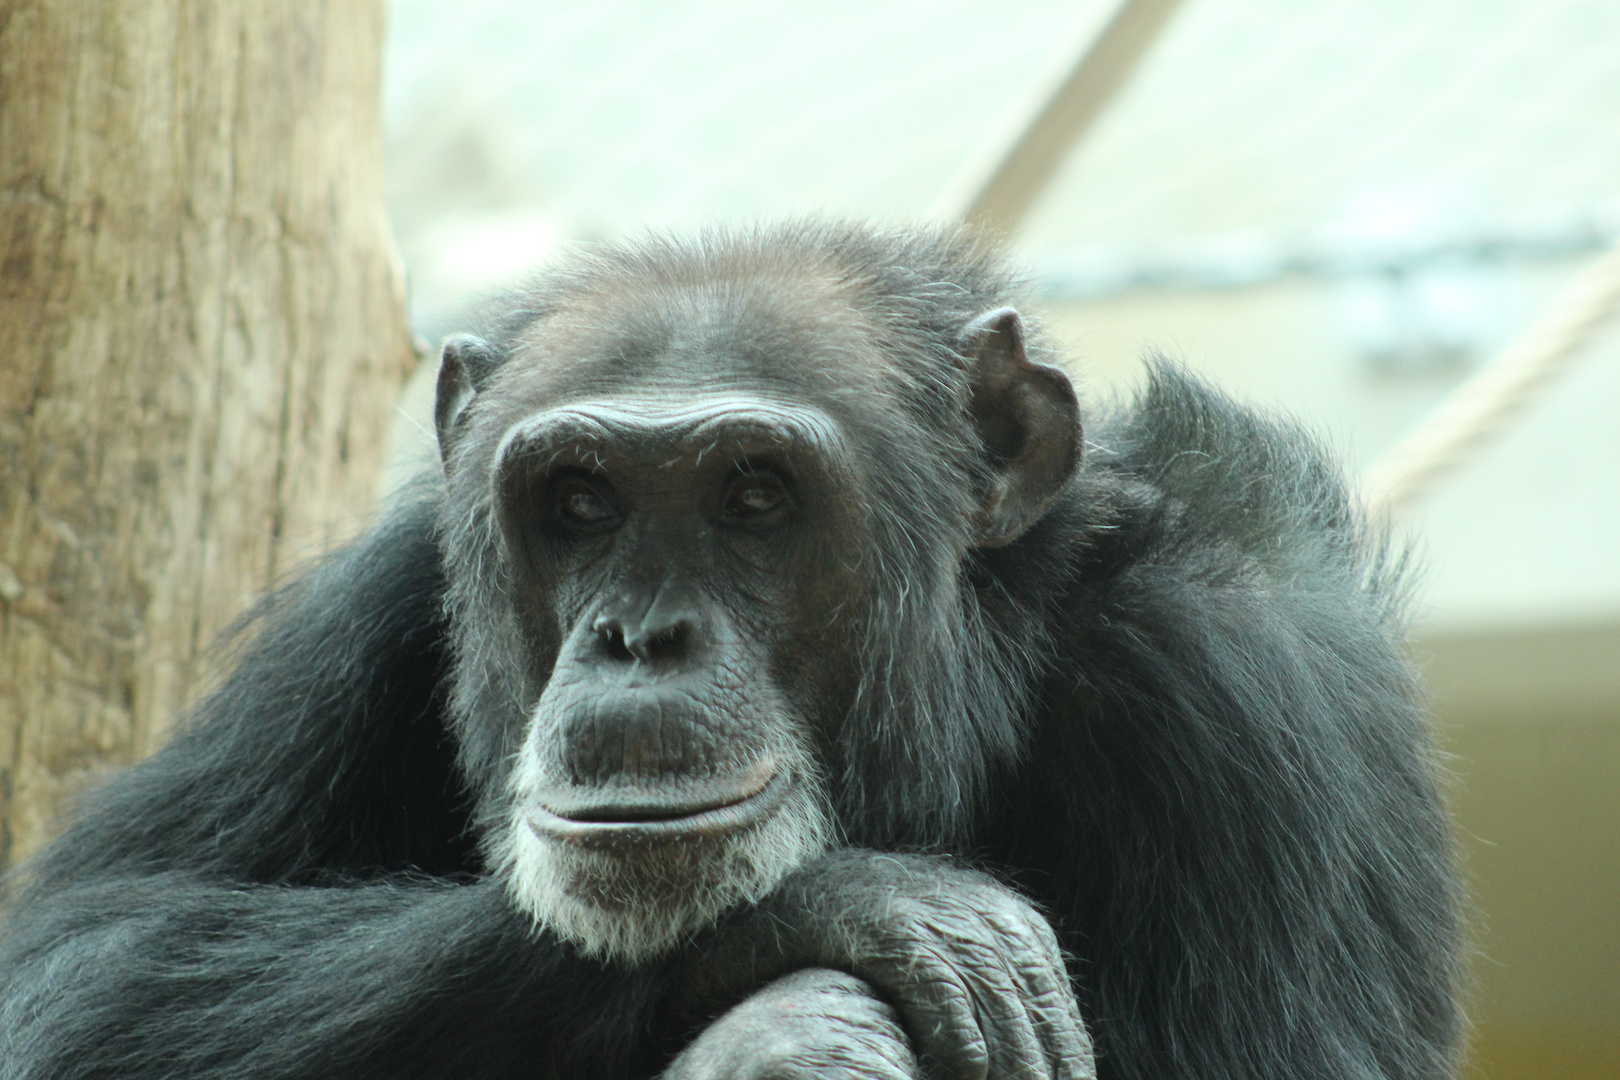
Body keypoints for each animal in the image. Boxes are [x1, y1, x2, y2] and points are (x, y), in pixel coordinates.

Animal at [0, 221, 1470, 1080]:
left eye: (756, 497)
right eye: (581, 502)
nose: (640, 638)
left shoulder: (1244, 695)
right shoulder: (377, 602)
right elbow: (74, 960)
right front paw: (855, 915)